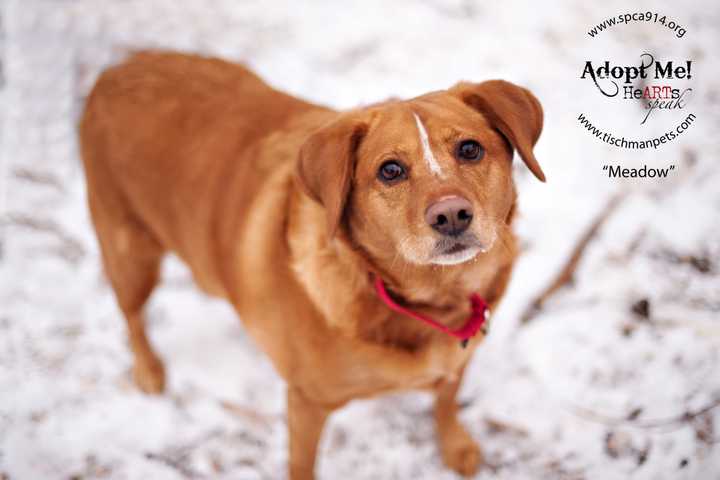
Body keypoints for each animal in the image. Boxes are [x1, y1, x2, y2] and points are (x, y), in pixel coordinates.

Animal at [79, 50, 540, 478]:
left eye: (470, 149)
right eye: (390, 170)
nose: (451, 215)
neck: (435, 299)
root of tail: (118, 68)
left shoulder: (458, 359)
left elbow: (446, 399)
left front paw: (454, 444)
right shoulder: (306, 402)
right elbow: (302, 463)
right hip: (129, 253)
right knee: (132, 315)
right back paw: (149, 370)